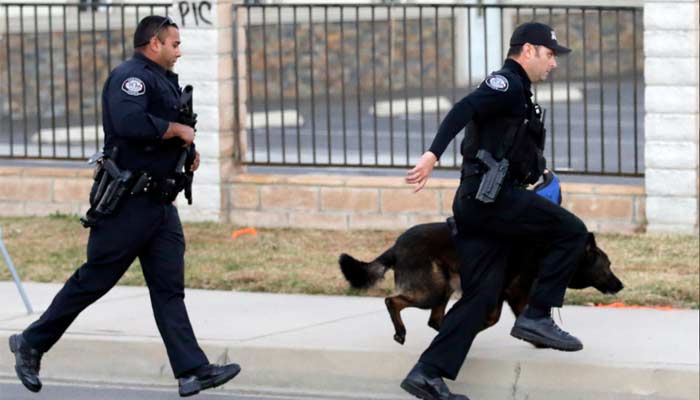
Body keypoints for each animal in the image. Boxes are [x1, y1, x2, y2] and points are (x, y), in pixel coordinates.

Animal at [340, 220, 624, 346]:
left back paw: (444, 328)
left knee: (435, 318)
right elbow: (509, 317)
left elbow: (492, 318)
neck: (546, 253)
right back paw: (401, 331)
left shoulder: (499, 294)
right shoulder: (514, 292)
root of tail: (396, 246)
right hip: (431, 290)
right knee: (392, 301)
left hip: (444, 286)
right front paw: (538, 338)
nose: (621, 285)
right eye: (607, 265)